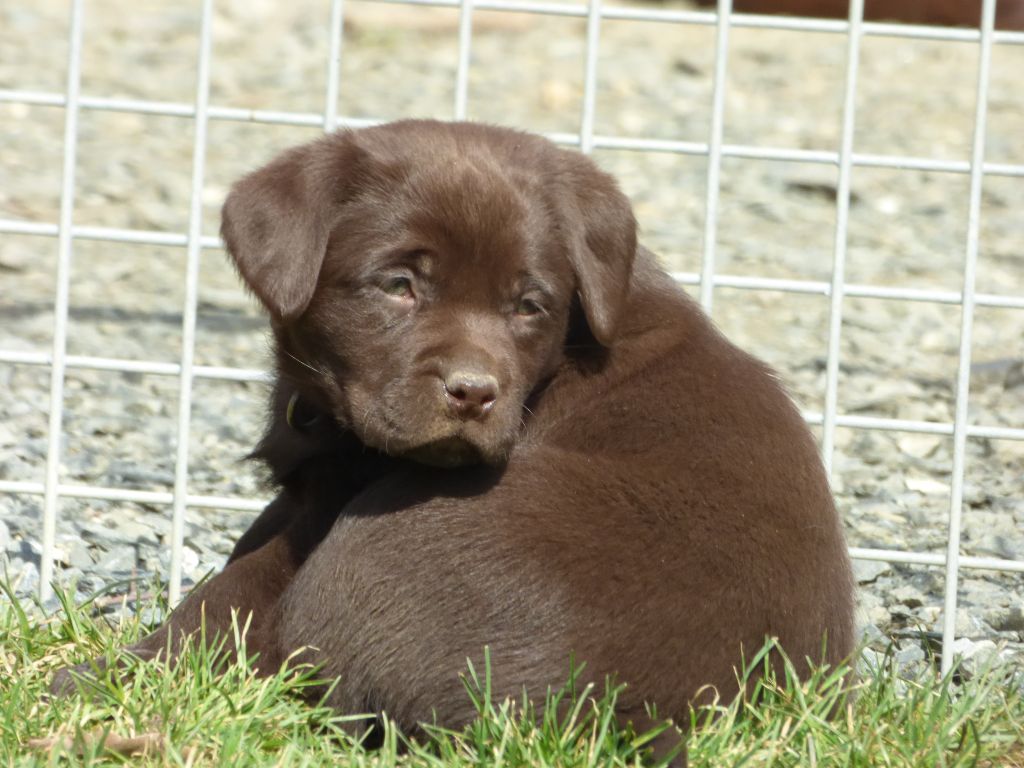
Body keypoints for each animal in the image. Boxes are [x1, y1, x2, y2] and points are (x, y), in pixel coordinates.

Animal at [55, 120, 855, 763]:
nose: (473, 392)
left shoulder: (331, 508)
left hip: (382, 540)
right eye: (398, 285)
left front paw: (103, 675)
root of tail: (614, 716)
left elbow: (228, 595)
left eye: (530, 304)